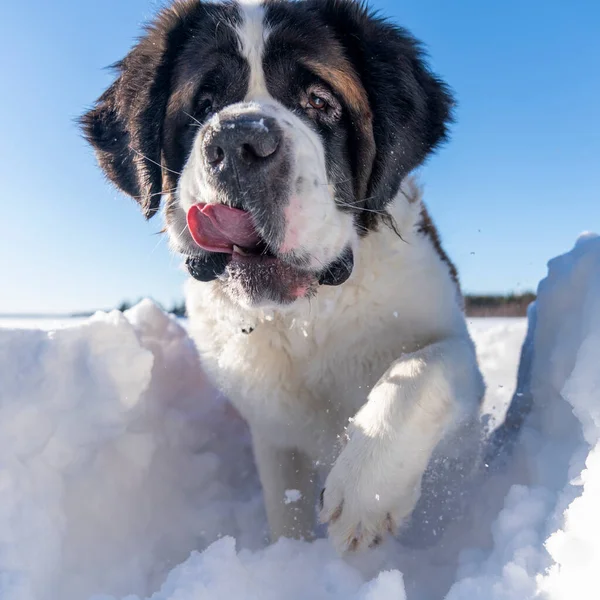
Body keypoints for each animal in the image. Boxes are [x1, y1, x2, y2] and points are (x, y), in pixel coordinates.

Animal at [82, 0, 486, 552]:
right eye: (204, 103)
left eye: (318, 99)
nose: (238, 141)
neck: (307, 318)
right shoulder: (272, 433)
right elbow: (284, 507)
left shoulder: (450, 342)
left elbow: (423, 368)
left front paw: (366, 488)